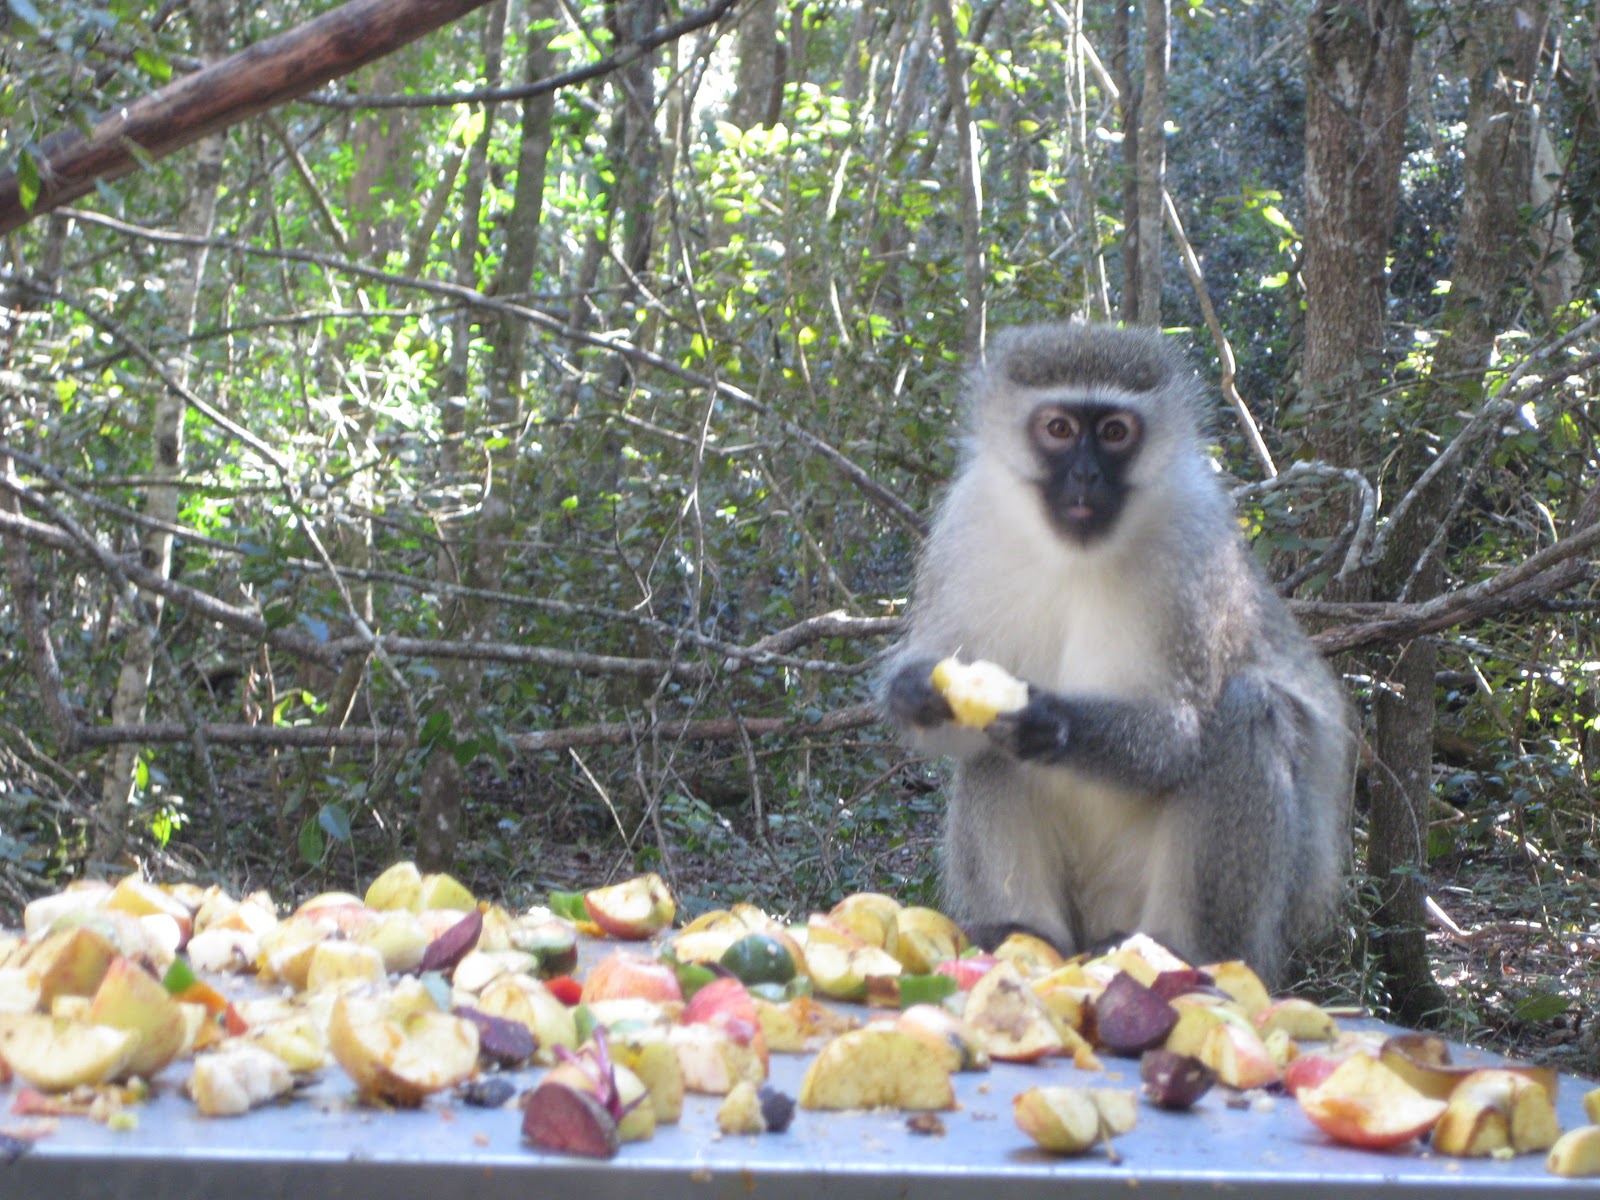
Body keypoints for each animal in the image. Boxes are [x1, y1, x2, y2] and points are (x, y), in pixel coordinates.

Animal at [880, 321, 1353, 986]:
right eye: (1059, 429)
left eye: (1113, 432)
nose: (1085, 476)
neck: (1076, 554)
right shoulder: (964, 529)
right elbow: (953, 726)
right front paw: (914, 692)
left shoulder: (1194, 552)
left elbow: (1174, 741)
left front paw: (1049, 718)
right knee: (988, 757)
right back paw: (1025, 932)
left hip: (1255, 915)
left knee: (1247, 709)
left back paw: (1187, 951)